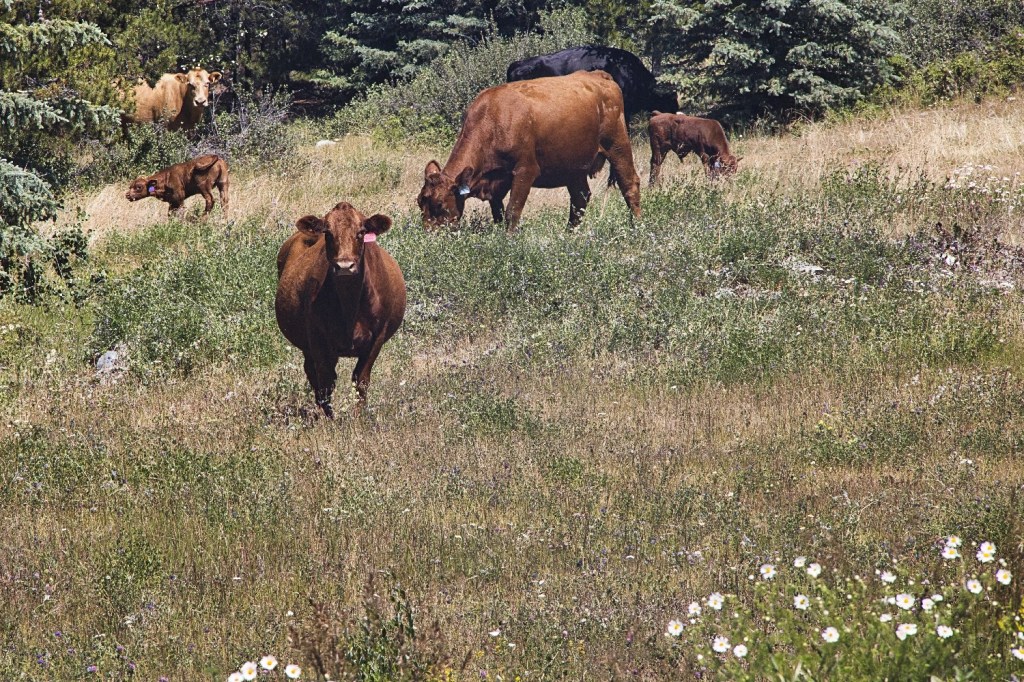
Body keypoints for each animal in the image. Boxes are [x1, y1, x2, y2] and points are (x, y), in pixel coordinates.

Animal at [275, 202, 406, 418]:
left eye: (361, 232)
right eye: (328, 233)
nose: (344, 265)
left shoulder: (378, 336)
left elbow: (361, 380)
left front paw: (358, 417)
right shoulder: (317, 337)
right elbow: (325, 381)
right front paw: (329, 418)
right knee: (313, 373)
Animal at [417, 70, 641, 231]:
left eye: (440, 205)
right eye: (420, 202)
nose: (429, 236)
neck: (492, 120)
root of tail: (598, 75)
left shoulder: (526, 170)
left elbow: (512, 211)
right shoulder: (497, 183)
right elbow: (498, 213)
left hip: (618, 144)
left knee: (629, 184)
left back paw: (637, 227)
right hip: (574, 165)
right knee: (580, 198)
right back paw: (569, 234)